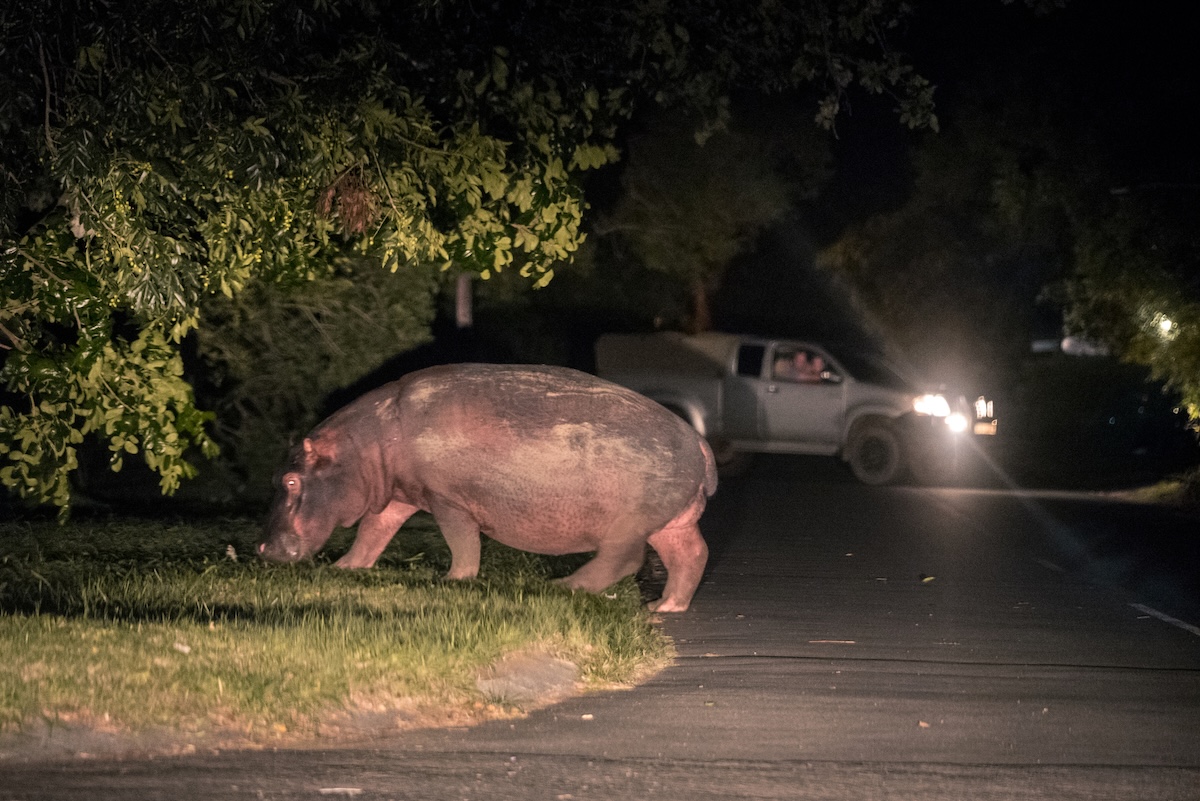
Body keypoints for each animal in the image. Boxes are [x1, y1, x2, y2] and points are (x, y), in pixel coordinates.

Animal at [258, 363, 716, 612]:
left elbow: (462, 542)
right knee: (692, 555)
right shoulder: (397, 497)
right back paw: (663, 606)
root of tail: (699, 440)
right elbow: (373, 533)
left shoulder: (447, 500)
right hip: (672, 523)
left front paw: (452, 581)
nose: (261, 548)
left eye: (291, 480)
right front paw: (345, 568)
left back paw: (561, 587)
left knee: (624, 559)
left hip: (629, 524)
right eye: (279, 476)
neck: (363, 446)